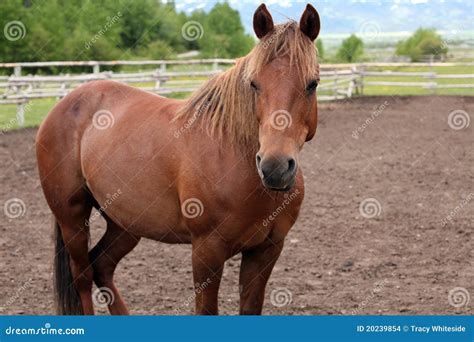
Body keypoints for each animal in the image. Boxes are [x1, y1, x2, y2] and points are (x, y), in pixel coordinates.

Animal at [35, 3, 320, 316]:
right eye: (254, 84)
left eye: (312, 84)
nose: (275, 167)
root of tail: (65, 103)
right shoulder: (207, 251)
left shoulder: (266, 250)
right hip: (72, 217)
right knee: (83, 275)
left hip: (125, 223)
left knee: (102, 265)